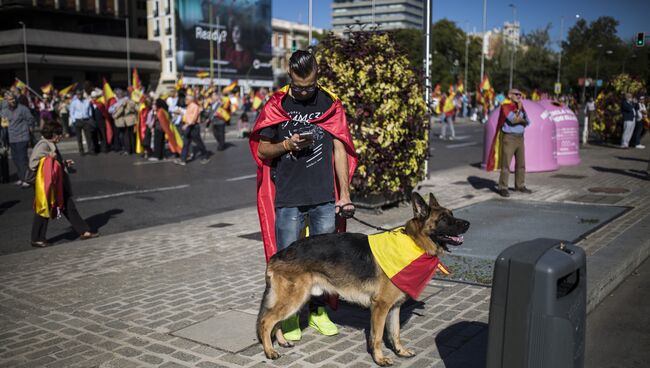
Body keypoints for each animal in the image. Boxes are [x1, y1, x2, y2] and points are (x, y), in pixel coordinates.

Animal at [256, 193, 468, 366]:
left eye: (451, 214)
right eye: (444, 219)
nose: (467, 224)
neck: (414, 242)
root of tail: (278, 254)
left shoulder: (395, 307)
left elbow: (395, 333)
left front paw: (400, 351)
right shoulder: (380, 307)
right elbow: (378, 336)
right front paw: (380, 359)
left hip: (295, 299)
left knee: (275, 321)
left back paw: (282, 341)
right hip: (294, 299)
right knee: (266, 321)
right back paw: (270, 351)